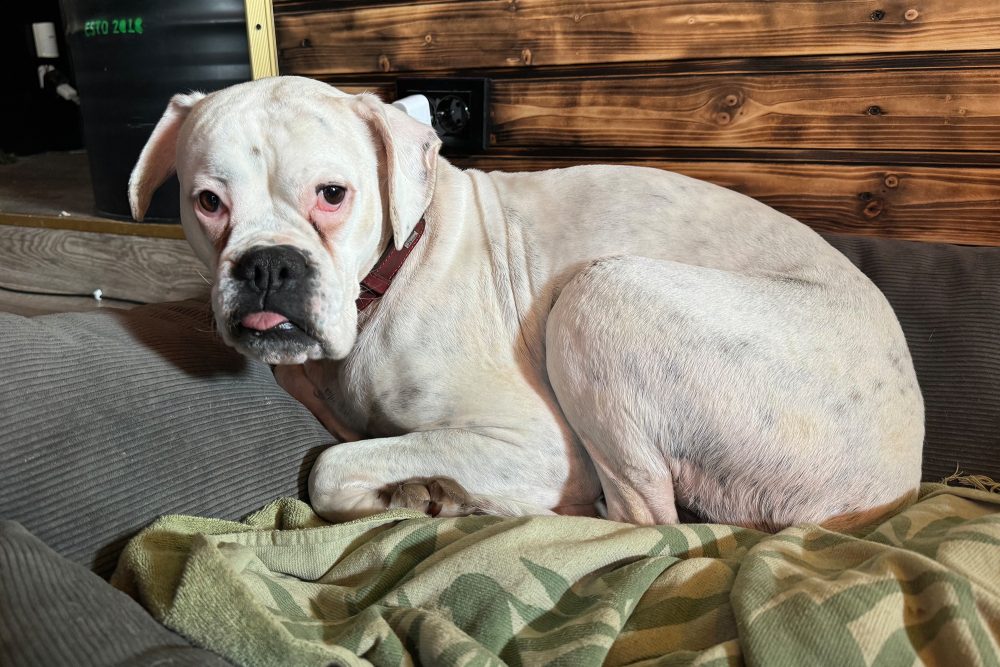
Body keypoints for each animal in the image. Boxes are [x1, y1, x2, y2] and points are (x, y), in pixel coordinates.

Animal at [131, 75, 920, 528]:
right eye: (207, 202)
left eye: (332, 194)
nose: (268, 265)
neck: (393, 270)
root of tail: (897, 484)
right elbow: (347, 442)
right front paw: (410, 489)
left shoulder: (535, 442)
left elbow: (329, 467)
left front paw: (412, 493)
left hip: (602, 294)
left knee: (643, 517)